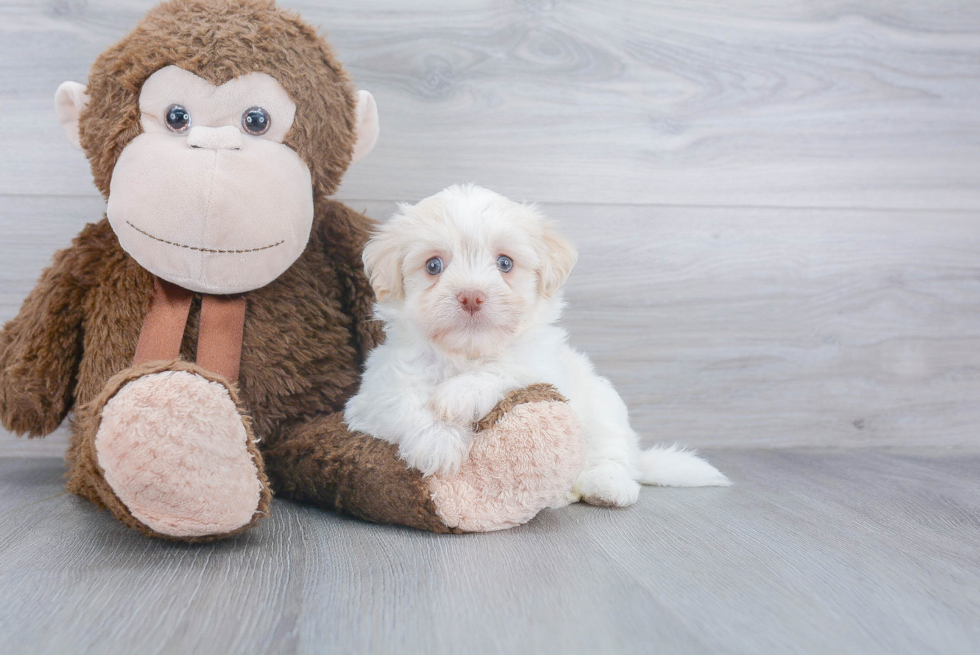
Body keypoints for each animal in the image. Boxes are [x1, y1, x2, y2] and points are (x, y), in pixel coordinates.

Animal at [344, 184, 728, 508]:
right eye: (433, 265)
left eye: (505, 263)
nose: (471, 296)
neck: (467, 355)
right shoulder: (374, 392)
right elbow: (403, 401)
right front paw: (438, 443)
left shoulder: (544, 369)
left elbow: (506, 370)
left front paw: (459, 395)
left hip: (605, 406)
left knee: (614, 453)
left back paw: (607, 485)